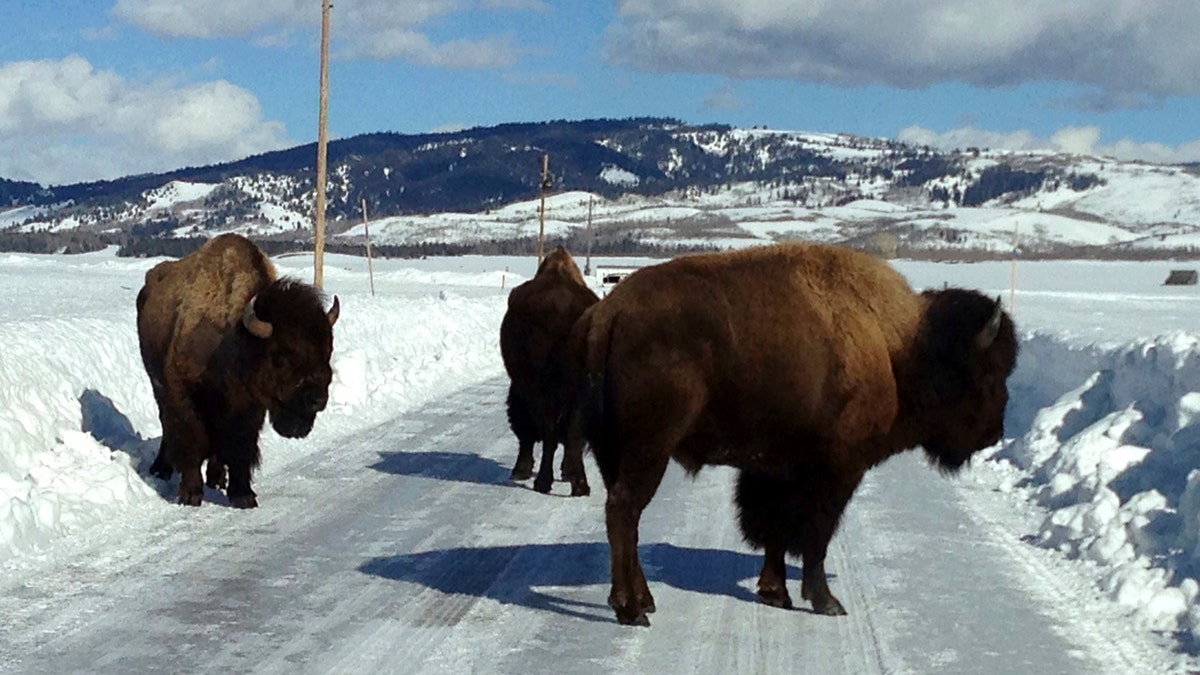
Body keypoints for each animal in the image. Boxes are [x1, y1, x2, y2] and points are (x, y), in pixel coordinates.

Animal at [137, 234, 340, 506]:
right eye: (281, 356)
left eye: (328, 351)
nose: (316, 399)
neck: (237, 339)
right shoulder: (183, 392)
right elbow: (192, 437)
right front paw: (190, 494)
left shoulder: (249, 407)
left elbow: (241, 446)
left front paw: (243, 495)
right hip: (157, 383)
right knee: (168, 425)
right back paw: (161, 469)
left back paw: (216, 478)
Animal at [499, 243, 597, 492]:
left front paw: (521, 470)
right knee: (569, 431)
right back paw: (578, 485)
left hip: (537, 391)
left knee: (550, 431)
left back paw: (544, 481)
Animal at [576, 241, 1017, 624]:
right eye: (987, 372)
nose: (993, 432)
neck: (899, 345)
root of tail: (609, 314)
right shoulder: (838, 469)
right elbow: (815, 534)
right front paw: (826, 601)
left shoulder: (775, 470)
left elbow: (775, 527)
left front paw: (776, 593)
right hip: (649, 450)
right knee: (624, 510)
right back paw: (630, 609)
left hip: (612, 450)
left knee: (626, 517)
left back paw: (644, 600)